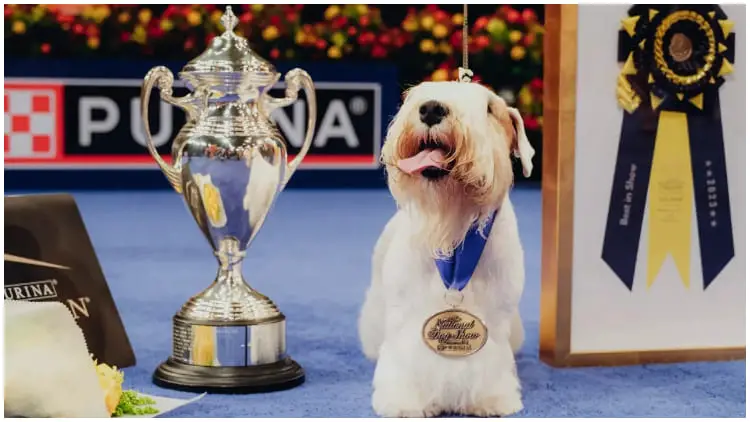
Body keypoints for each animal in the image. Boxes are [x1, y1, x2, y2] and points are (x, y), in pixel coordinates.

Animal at [362, 81, 536, 418]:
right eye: (414, 95)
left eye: (489, 109)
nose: (431, 109)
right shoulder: (405, 320)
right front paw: (404, 402)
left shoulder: (495, 320)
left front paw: (490, 400)